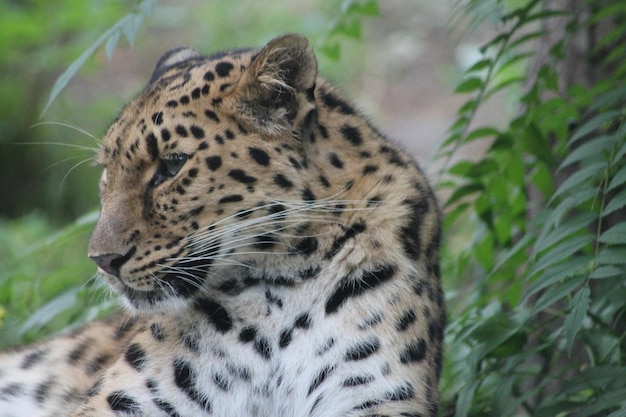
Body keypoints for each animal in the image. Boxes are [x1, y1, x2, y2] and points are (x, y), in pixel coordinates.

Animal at [0, 33, 444, 416]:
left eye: (172, 165)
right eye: (106, 172)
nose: (102, 260)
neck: (277, 293)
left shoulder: (375, 397)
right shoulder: (124, 401)